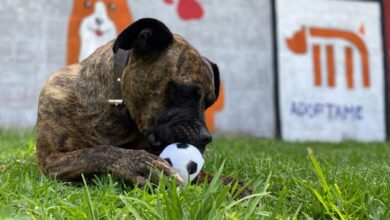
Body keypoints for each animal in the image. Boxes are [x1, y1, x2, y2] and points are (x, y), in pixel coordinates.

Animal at [37, 17, 250, 192]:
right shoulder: (49, 160)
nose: (206, 138)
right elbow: (98, 152)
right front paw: (140, 164)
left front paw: (228, 184)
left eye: (209, 103)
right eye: (185, 91)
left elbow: (202, 174)